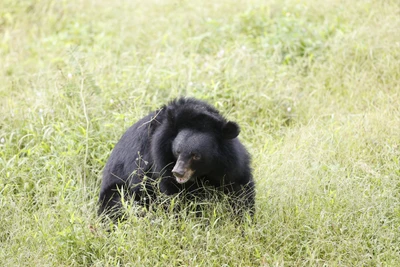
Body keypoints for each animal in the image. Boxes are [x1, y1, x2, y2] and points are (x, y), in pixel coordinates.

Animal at [98, 98, 255, 220]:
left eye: (196, 155)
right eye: (177, 151)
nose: (178, 172)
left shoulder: (231, 163)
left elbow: (240, 189)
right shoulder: (159, 163)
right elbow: (175, 196)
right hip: (117, 192)